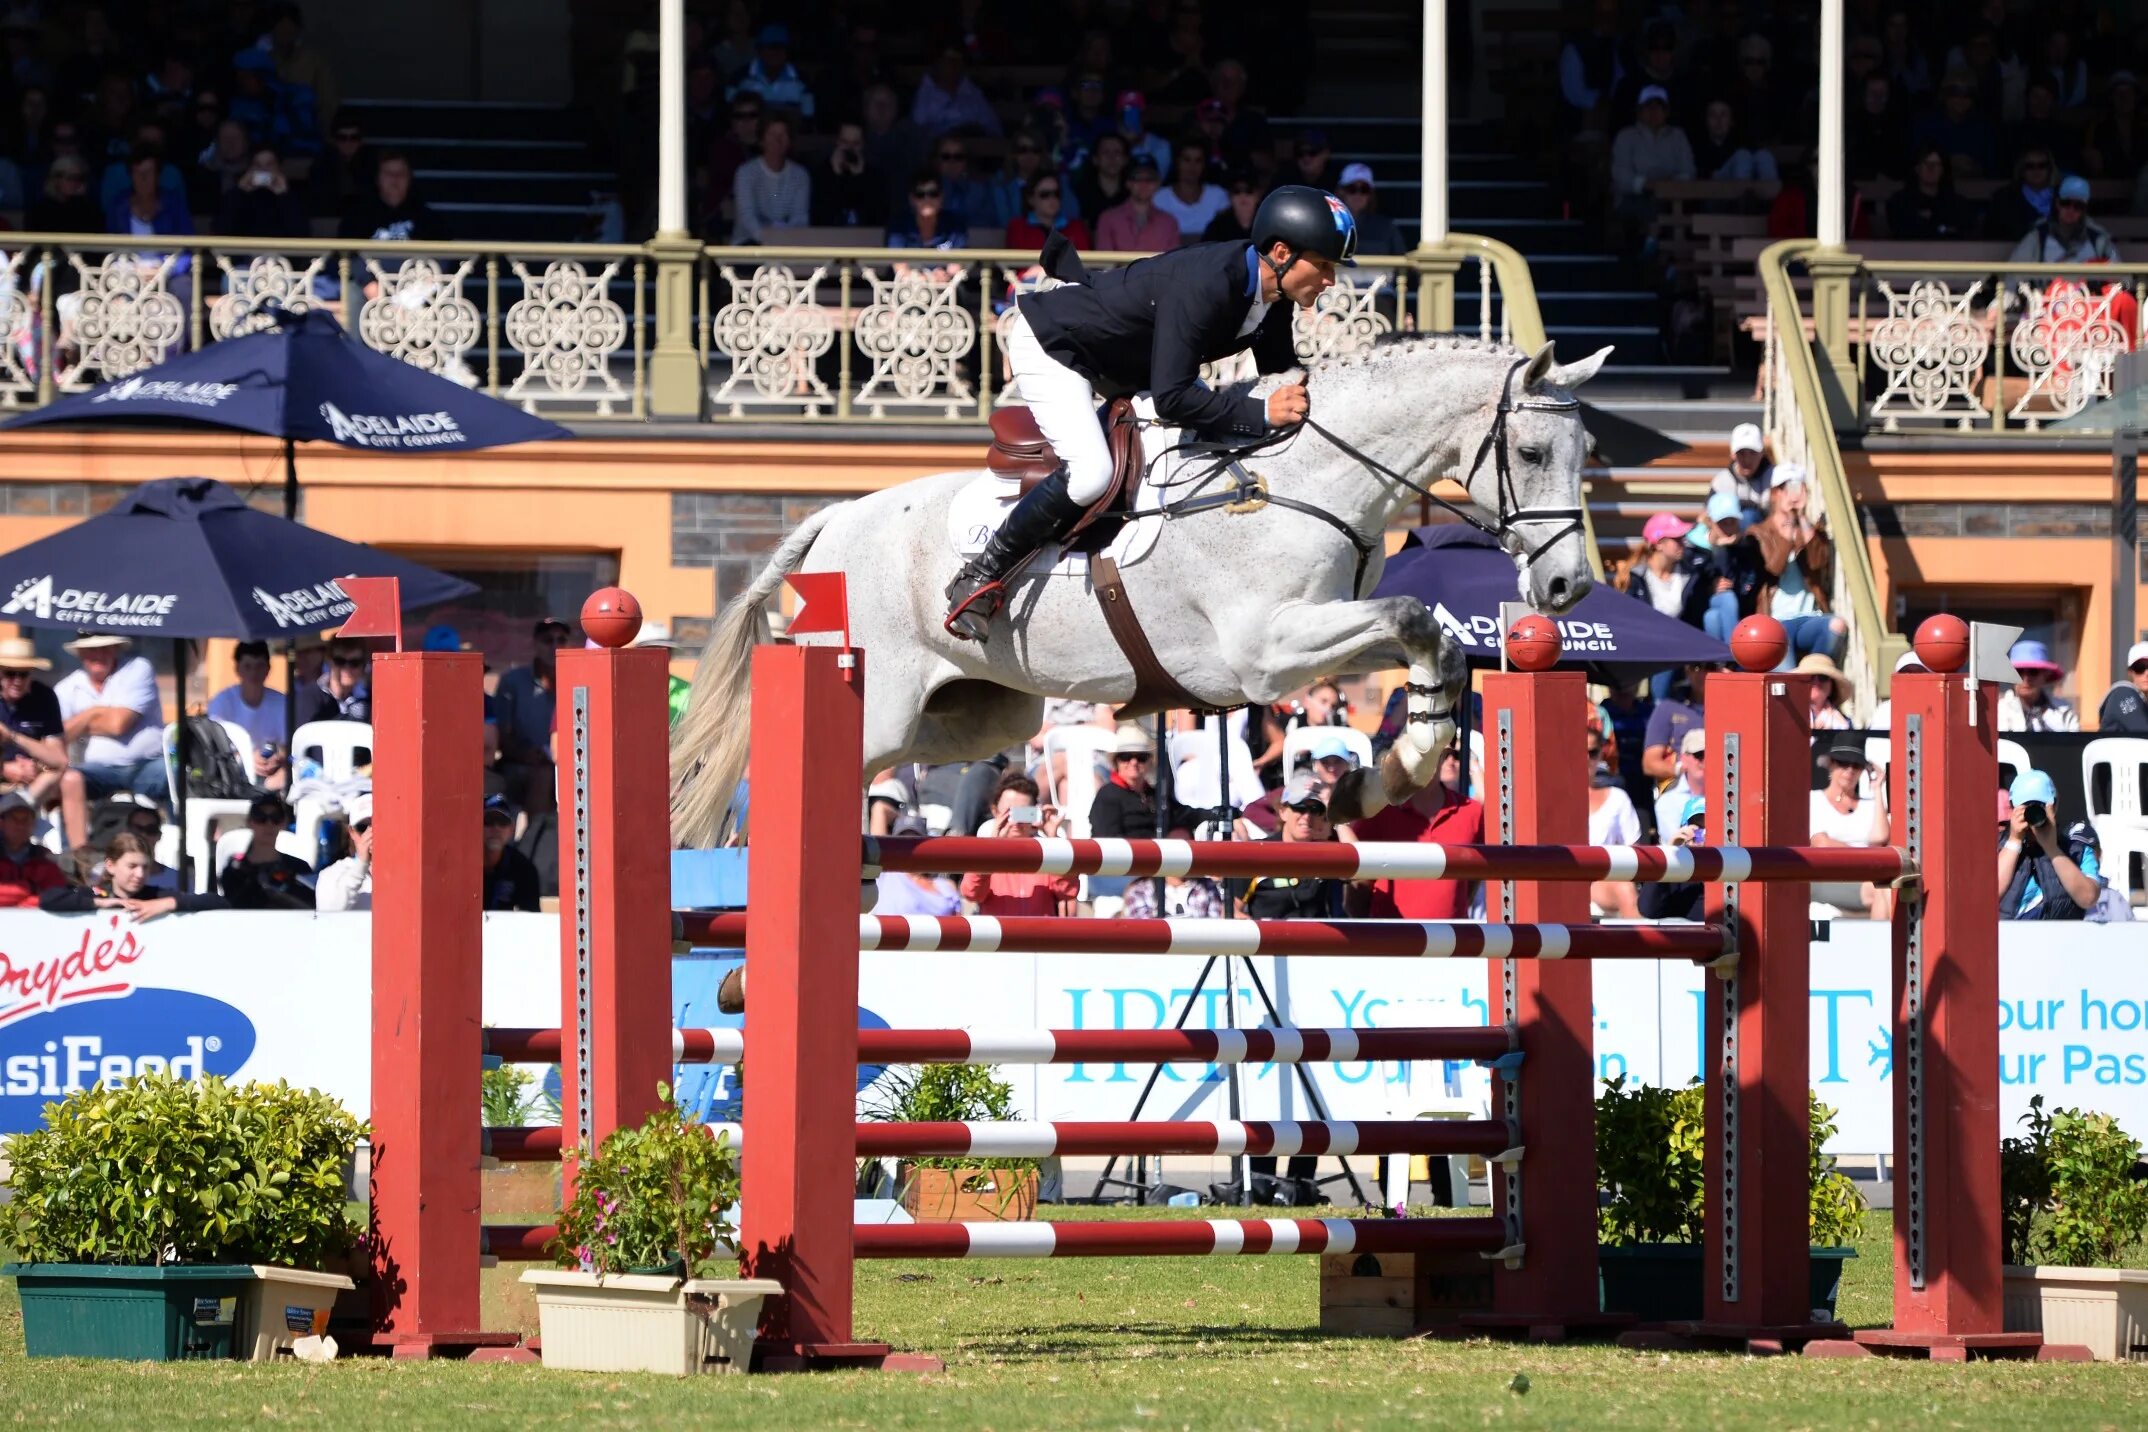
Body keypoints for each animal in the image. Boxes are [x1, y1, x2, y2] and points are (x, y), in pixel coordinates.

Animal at [674, 337, 1615, 845]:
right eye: (1533, 453)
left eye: (1586, 454)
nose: (1568, 585)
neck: (1305, 477)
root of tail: (834, 518)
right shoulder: (1266, 653)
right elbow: (1418, 616)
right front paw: (1381, 777)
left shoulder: (1332, 632)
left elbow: (1437, 647)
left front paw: (1379, 781)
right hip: (875, 699)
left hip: (978, 712)